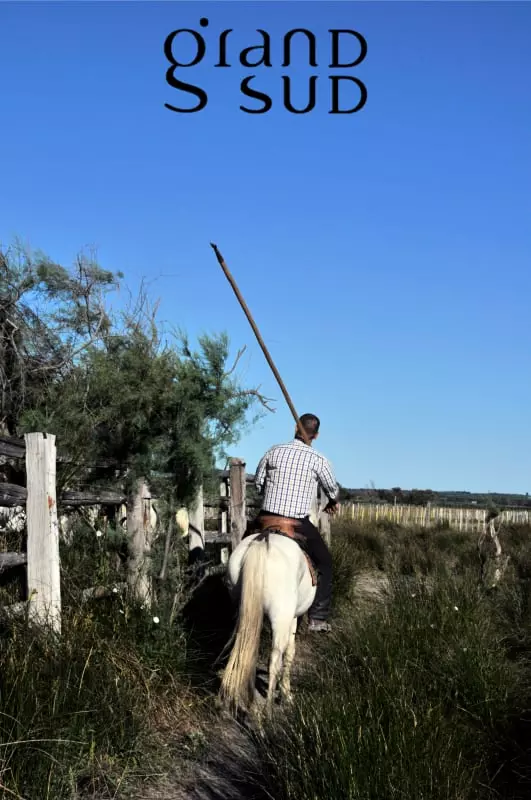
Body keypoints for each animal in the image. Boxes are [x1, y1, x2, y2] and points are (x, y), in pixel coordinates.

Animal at [219, 530, 316, 714]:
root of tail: (262, 541)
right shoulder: (292, 619)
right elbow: (290, 653)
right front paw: (286, 695)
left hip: (242, 614)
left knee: (244, 653)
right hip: (280, 618)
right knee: (274, 660)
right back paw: (269, 710)